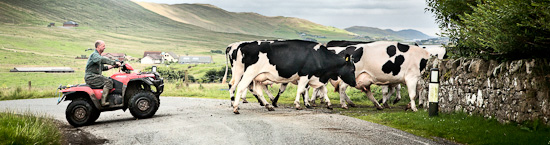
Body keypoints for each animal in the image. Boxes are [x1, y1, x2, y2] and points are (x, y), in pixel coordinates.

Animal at [223, 39, 358, 113]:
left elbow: (322, 90)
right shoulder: (305, 74)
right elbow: (301, 89)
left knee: (253, 89)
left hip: (253, 75)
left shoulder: (316, 77)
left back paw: (267, 105)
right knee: (240, 87)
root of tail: (243, 45)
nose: (355, 83)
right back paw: (235, 107)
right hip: (247, 73)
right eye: (352, 69)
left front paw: (328, 104)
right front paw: (298, 104)